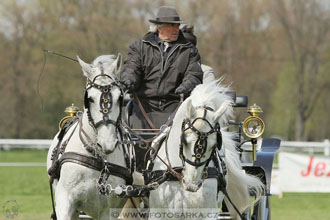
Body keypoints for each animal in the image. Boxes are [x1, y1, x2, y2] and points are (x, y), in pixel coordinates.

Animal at [47, 54, 131, 219]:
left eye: (120, 98)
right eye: (90, 98)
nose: (107, 143)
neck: (99, 158)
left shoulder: (107, 210)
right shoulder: (65, 201)